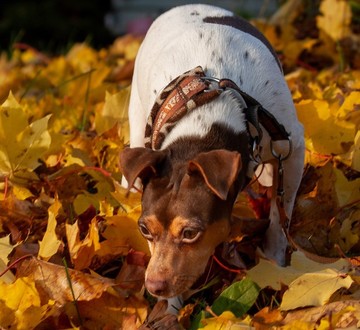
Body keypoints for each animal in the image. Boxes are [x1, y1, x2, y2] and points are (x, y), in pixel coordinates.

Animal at [120, 3, 304, 302]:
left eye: (190, 233)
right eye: (144, 229)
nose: (153, 286)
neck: (206, 120)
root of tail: (187, 6)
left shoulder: (291, 148)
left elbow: (280, 215)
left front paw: (274, 260)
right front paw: (170, 308)